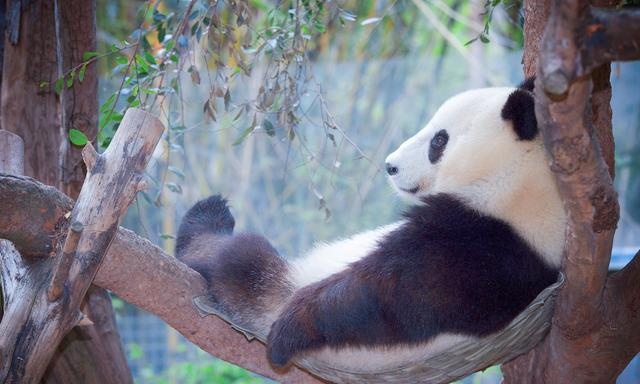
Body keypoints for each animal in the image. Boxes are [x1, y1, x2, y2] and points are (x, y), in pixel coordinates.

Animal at [175, 79, 564, 372]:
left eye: (439, 140)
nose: (391, 166)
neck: (516, 178)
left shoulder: (487, 245)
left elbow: (390, 295)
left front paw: (289, 330)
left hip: (278, 284)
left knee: (242, 261)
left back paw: (207, 224)